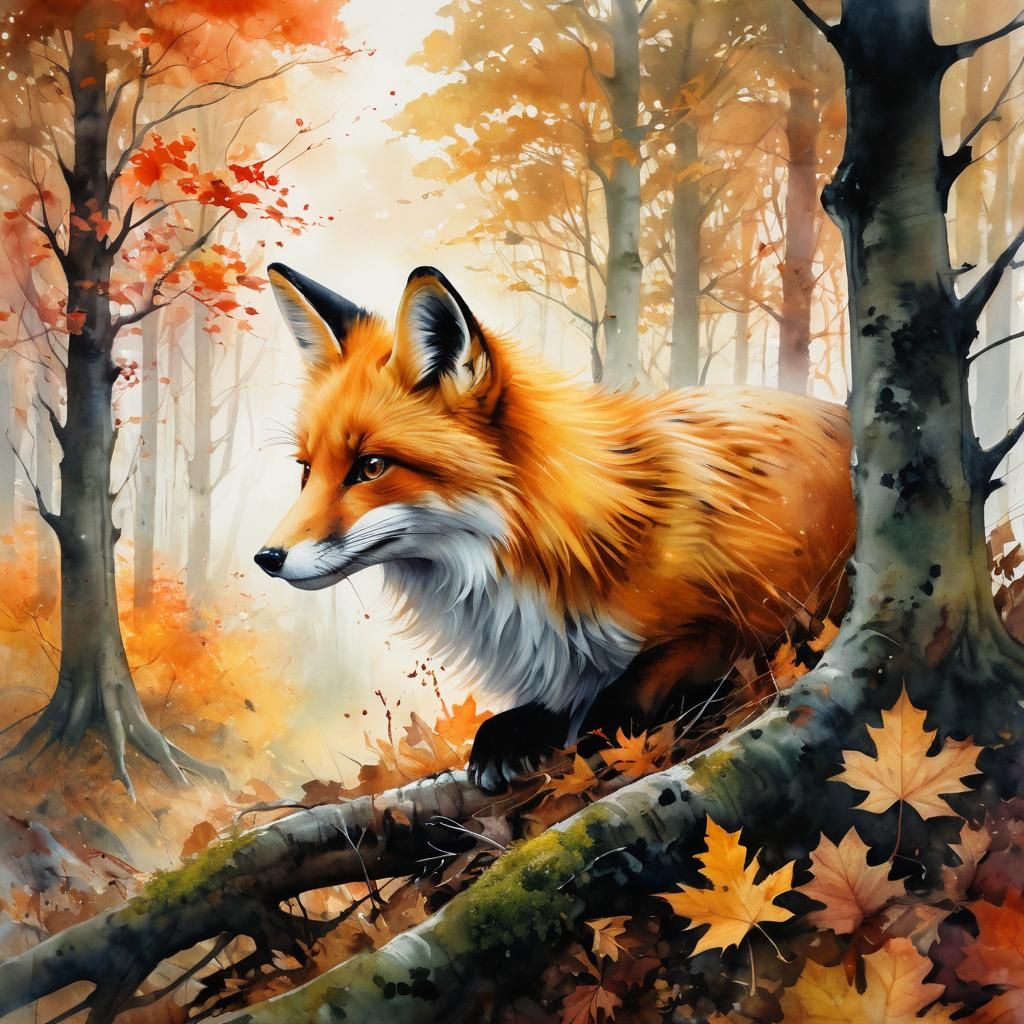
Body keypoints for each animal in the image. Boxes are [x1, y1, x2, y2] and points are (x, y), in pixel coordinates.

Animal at [256, 263, 856, 791]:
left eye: (372, 467)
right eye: (306, 469)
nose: (267, 558)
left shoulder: (753, 615)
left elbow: (631, 686)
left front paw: (592, 735)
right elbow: (557, 699)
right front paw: (512, 734)